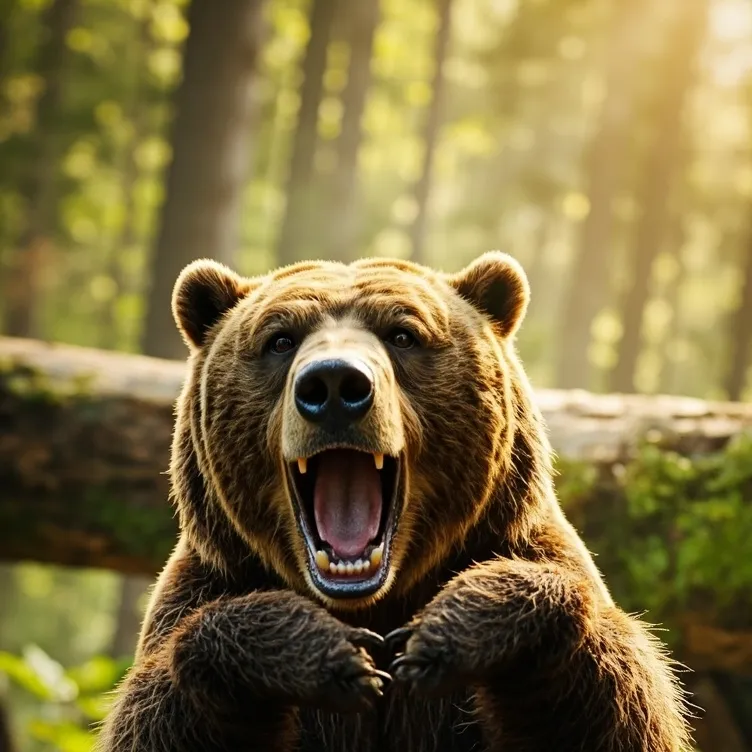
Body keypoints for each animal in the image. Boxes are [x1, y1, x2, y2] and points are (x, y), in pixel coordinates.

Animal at [97, 252, 692, 752]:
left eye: (403, 334)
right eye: (280, 339)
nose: (335, 385)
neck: (375, 600)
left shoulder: (522, 550)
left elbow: (613, 705)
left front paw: (443, 634)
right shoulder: (209, 583)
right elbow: (160, 712)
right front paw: (329, 654)